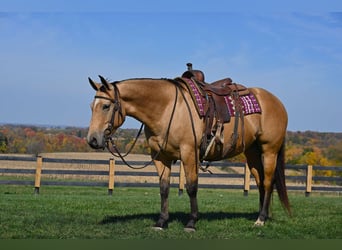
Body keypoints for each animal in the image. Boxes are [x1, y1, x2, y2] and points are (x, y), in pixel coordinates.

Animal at [87, 65, 290, 231]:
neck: (167, 108)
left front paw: (191, 222)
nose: (93, 139)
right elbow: (164, 188)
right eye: (91, 106)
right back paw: (262, 216)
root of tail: (277, 102)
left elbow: (192, 187)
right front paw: (161, 222)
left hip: (269, 150)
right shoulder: (160, 157)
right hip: (252, 152)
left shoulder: (189, 153)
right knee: (260, 181)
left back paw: (261, 219)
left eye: (106, 106)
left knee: (268, 182)